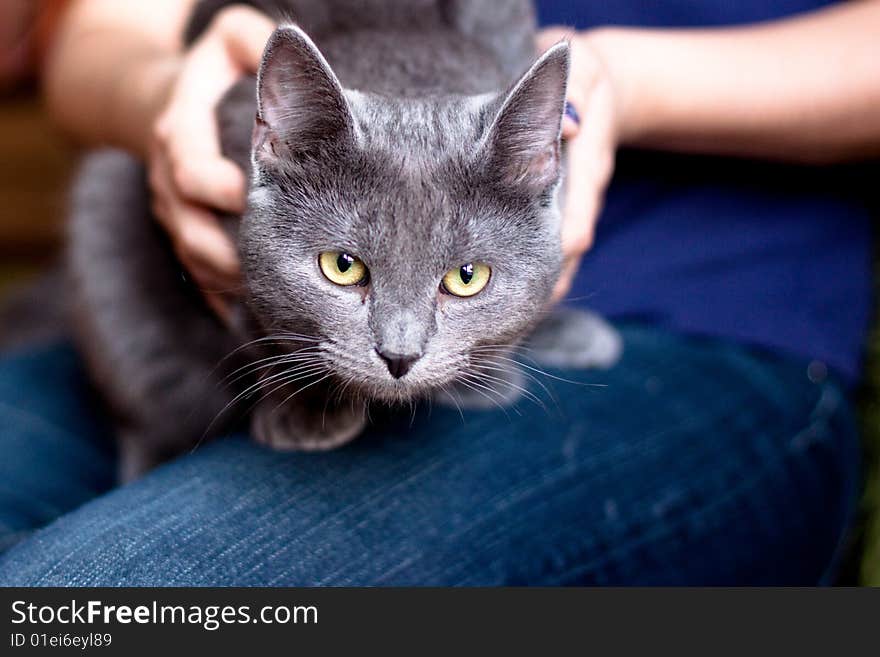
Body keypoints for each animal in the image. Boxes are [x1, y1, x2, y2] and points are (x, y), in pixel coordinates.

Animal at [69, 1, 620, 482]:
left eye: (468, 277)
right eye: (341, 266)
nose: (399, 356)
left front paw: (488, 376)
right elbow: (257, 323)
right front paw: (309, 410)